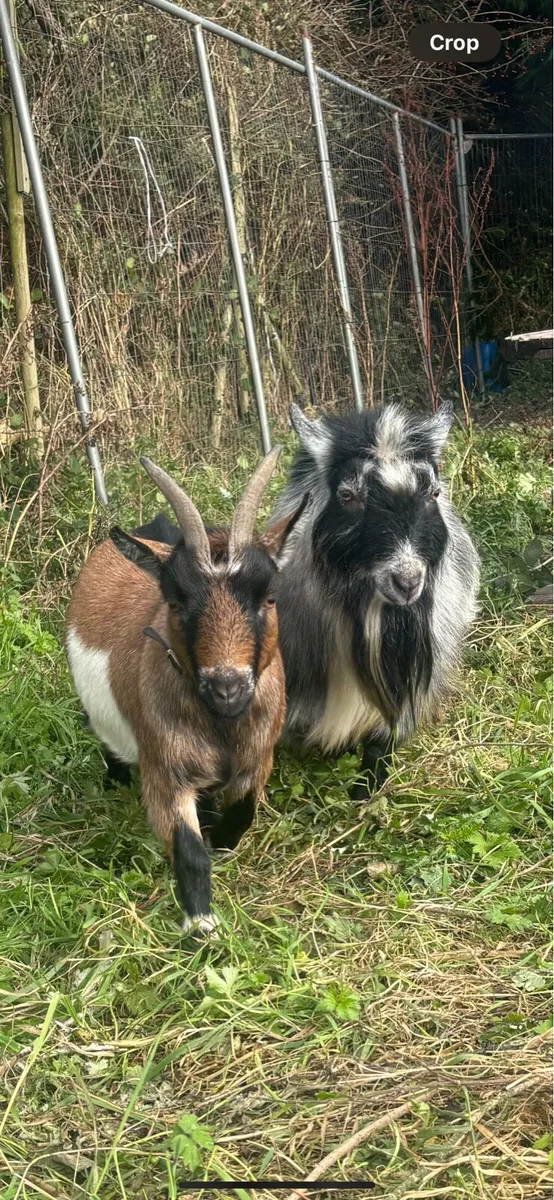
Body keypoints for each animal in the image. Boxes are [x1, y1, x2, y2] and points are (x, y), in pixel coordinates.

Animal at [64, 449, 306, 934]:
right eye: (176, 602)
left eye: (269, 596)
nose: (227, 686)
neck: (222, 728)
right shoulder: (165, 768)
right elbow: (189, 851)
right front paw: (200, 924)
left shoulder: (258, 756)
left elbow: (242, 814)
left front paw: (219, 835)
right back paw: (114, 779)